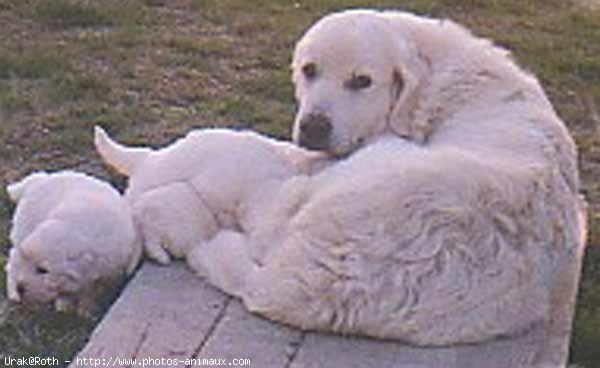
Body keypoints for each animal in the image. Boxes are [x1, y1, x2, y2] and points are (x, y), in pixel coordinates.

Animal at [5, 171, 141, 314]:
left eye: (42, 270)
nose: (20, 288)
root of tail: (40, 179)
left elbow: (89, 290)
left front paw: (83, 307)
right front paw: (67, 305)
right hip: (23, 230)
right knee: (13, 259)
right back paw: (13, 293)